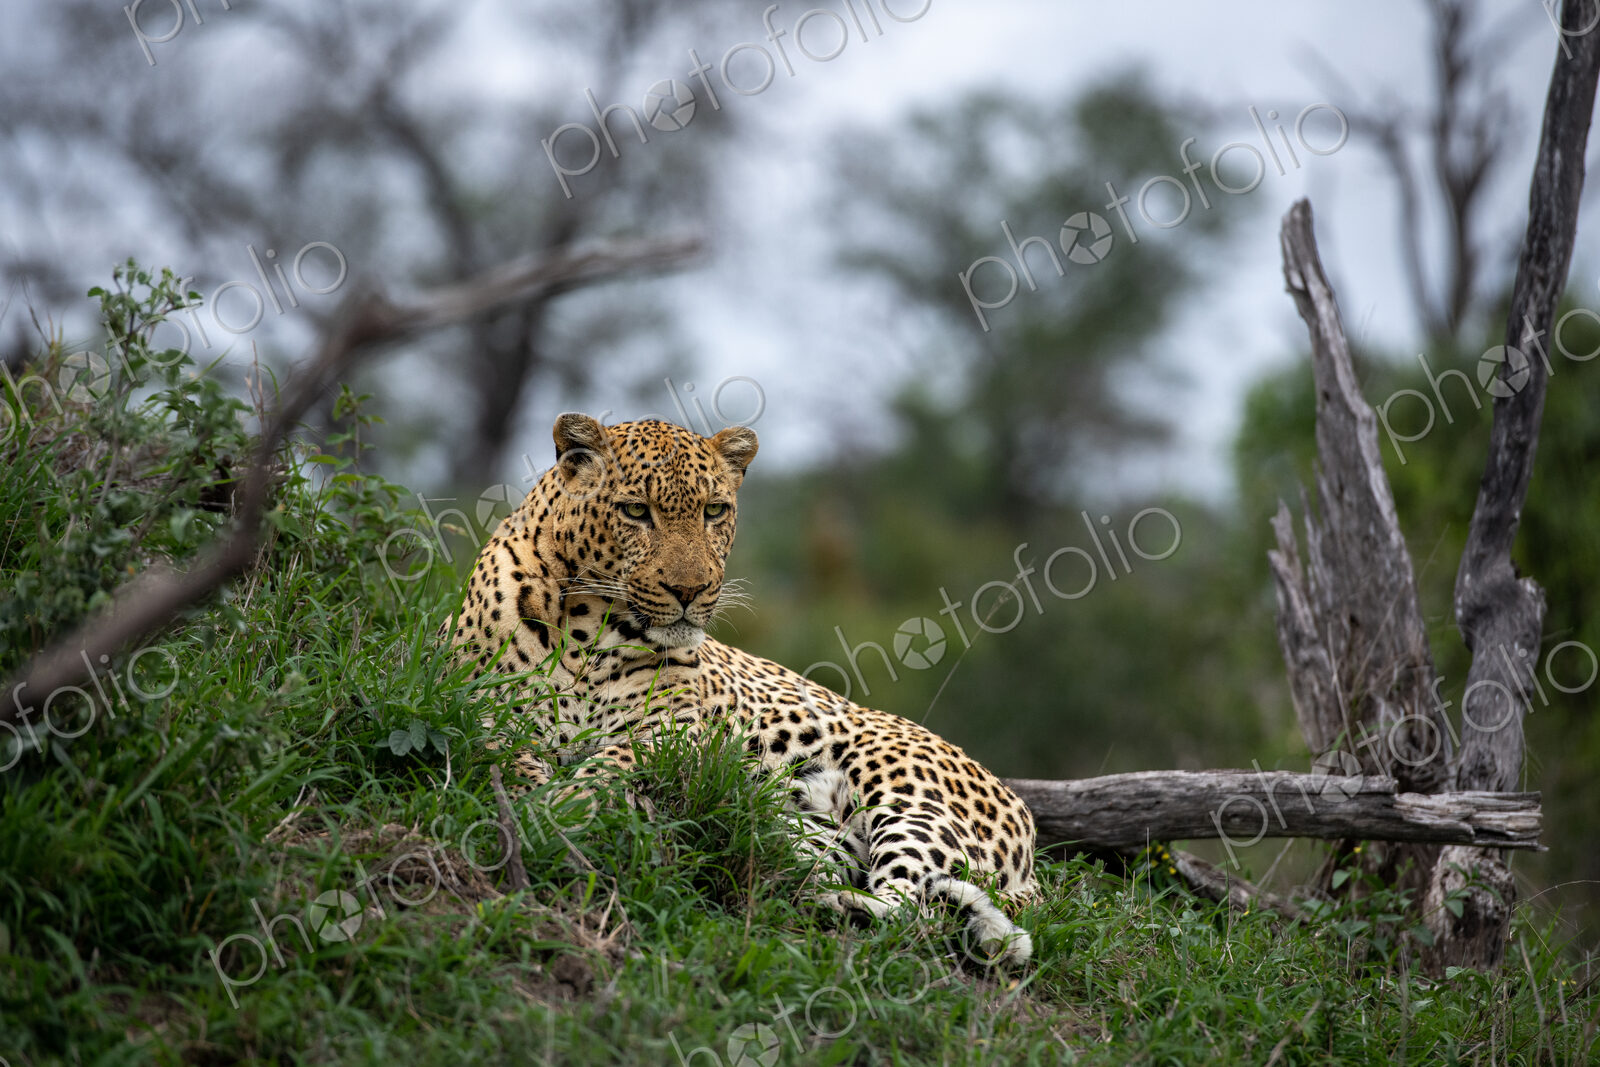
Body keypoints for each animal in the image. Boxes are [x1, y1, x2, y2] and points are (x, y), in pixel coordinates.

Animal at [450, 412, 1037, 964]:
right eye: (636, 511)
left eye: (714, 512)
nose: (689, 590)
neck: (584, 632)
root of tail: (1028, 829)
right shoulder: (478, 698)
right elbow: (504, 749)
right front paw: (539, 794)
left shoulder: (673, 729)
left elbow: (615, 762)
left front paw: (566, 804)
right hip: (820, 831)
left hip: (907, 797)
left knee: (912, 911)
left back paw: (843, 907)